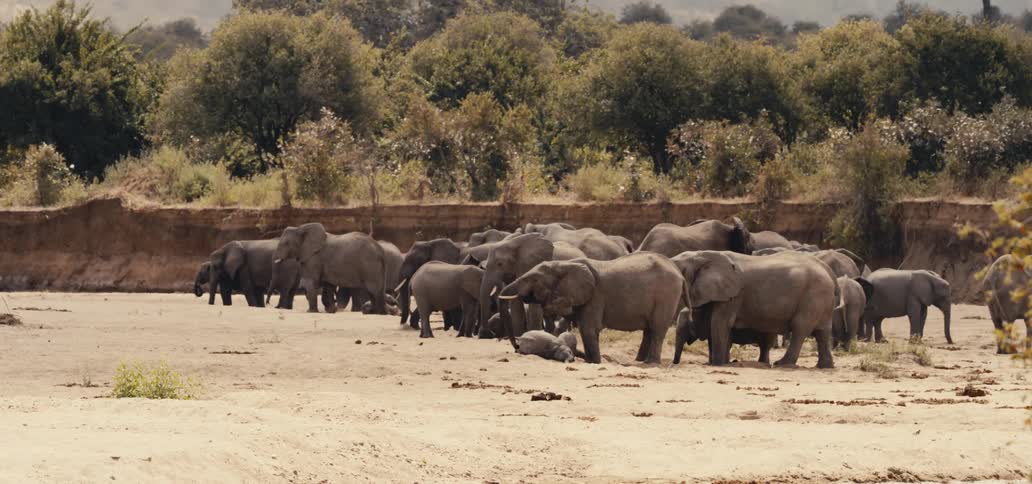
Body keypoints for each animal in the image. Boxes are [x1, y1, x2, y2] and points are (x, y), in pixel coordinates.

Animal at [498, 252, 687, 364]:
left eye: (534, 279)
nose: (517, 346)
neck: (564, 264)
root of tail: (679, 271)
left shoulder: (595, 295)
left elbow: (588, 328)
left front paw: (595, 363)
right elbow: (584, 329)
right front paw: (590, 362)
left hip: (666, 295)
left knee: (657, 329)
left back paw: (651, 363)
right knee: (649, 330)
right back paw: (639, 361)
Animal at [672, 251, 840, 368]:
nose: (674, 364)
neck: (702, 255)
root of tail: (828, 271)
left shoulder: (733, 295)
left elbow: (720, 323)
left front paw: (717, 364)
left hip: (813, 295)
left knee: (800, 327)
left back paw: (782, 364)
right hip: (821, 299)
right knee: (822, 332)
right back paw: (825, 366)